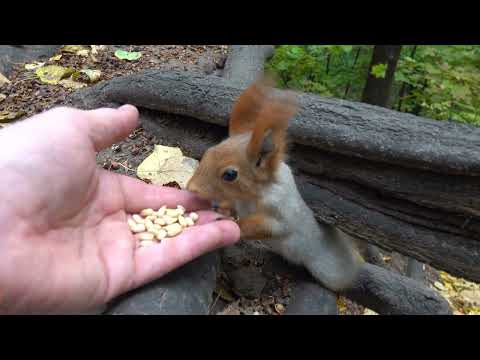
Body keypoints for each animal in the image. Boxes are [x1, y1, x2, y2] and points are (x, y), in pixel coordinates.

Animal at [187, 74, 360, 292]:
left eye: (230, 174)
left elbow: (266, 227)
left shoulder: (280, 212)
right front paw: (224, 209)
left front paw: (232, 222)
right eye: (209, 151)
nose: (191, 188)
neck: (250, 196)